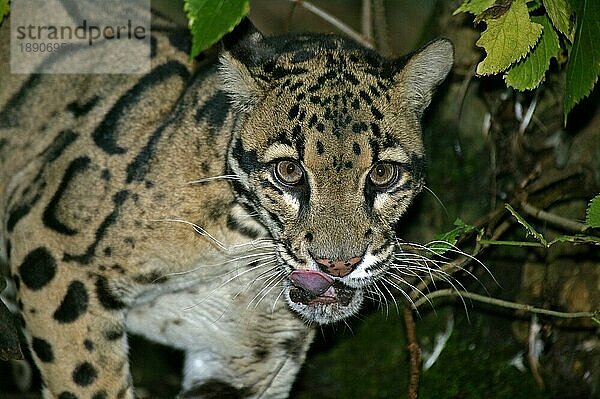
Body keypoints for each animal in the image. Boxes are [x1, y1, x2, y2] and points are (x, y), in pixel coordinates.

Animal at [0, 7, 450, 398]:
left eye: (383, 173)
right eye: (288, 170)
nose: (337, 264)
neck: (239, 244)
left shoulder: (247, 353)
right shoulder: (50, 251)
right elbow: (88, 382)